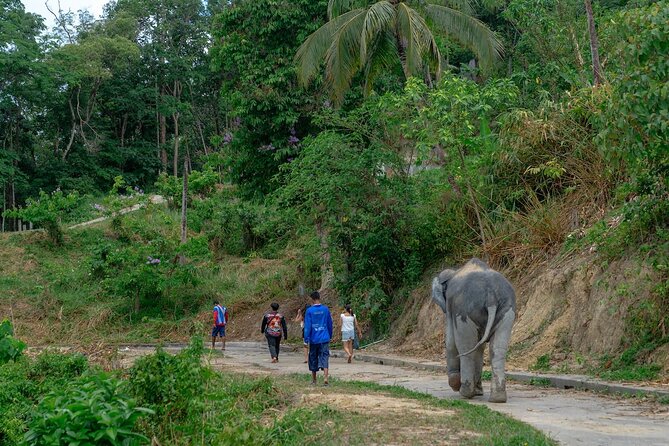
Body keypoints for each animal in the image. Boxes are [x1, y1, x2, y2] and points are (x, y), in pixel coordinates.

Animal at [431, 257, 516, 403]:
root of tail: (491, 294)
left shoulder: (451, 306)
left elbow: (450, 342)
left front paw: (456, 385)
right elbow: (480, 348)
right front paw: (479, 392)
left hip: (464, 311)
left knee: (465, 347)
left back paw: (465, 393)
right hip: (507, 309)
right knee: (497, 349)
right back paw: (497, 398)